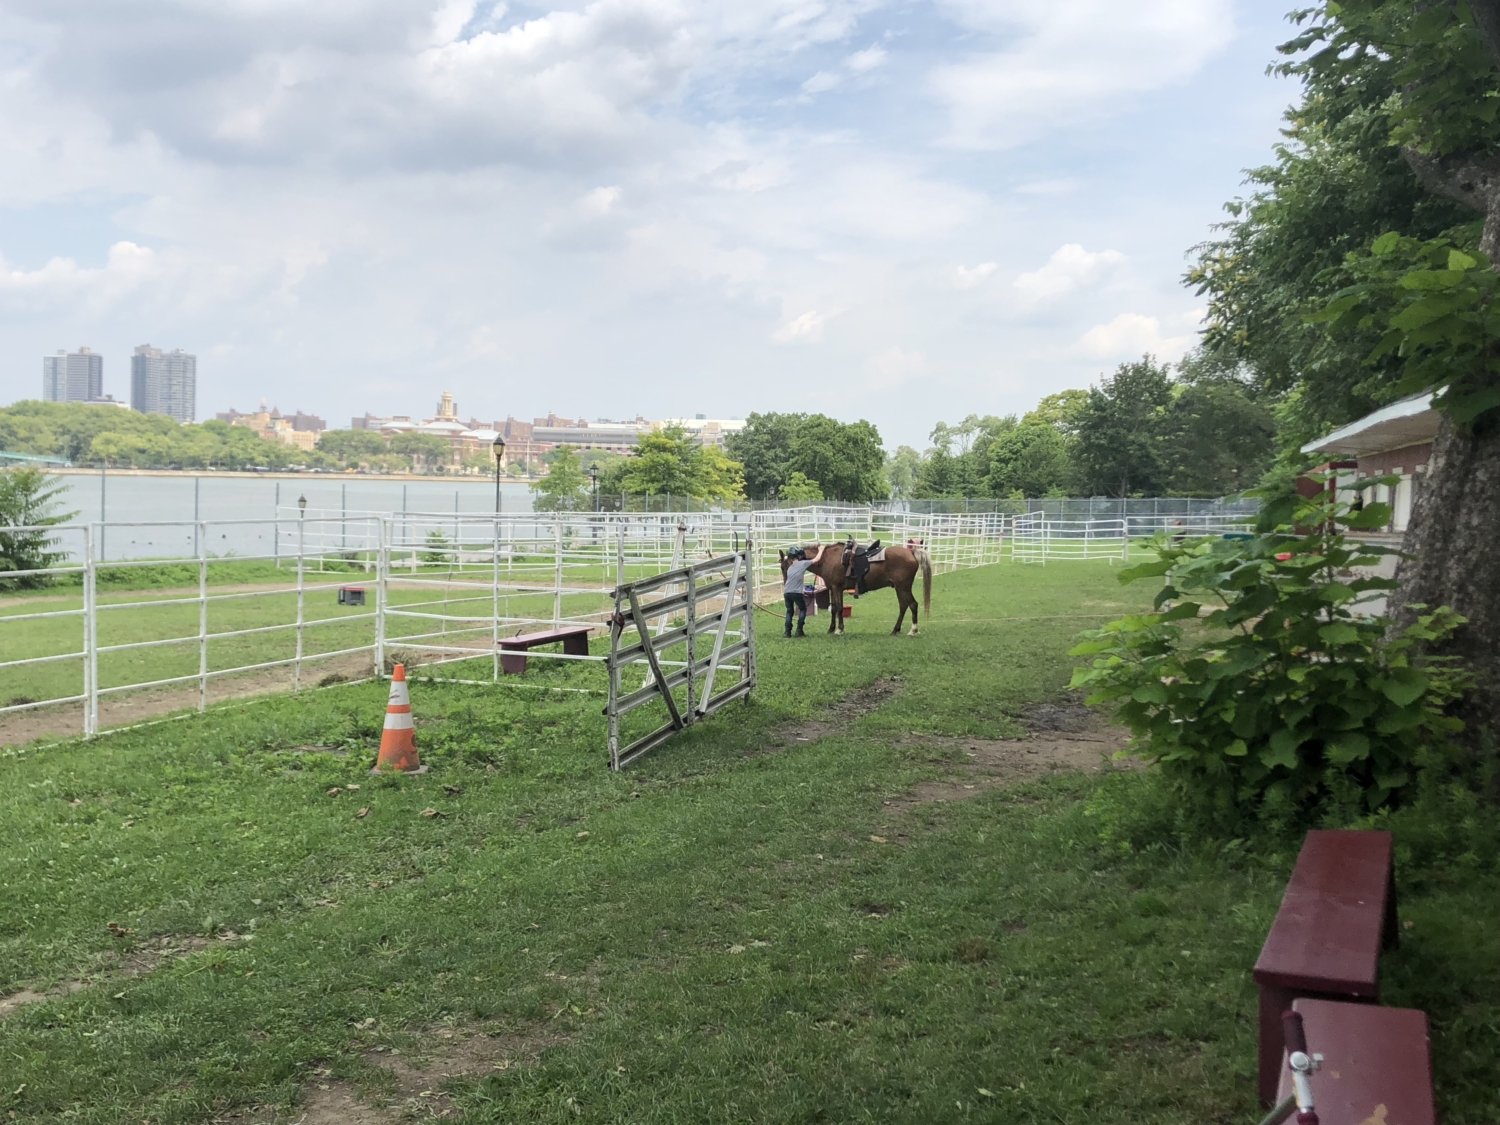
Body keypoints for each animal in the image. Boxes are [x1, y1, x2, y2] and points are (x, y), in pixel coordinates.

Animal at [780, 543, 930, 636]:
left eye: (784, 566)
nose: (786, 584)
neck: (827, 559)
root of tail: (911, 552)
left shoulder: (837, 588)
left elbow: (839, 608)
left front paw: (839, 630)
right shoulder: (833, 589)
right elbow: (834, 609)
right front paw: (831, 629)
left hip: (903, 587)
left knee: (912, 605)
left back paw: (913, 631)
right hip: (900, 588)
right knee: (904, 606)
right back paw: (895, 630)